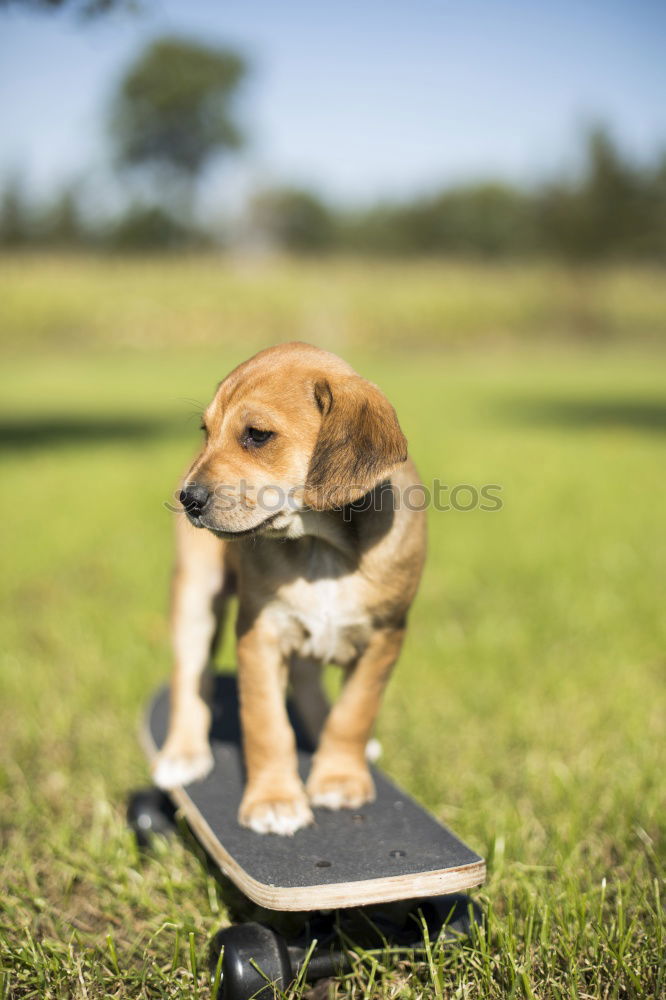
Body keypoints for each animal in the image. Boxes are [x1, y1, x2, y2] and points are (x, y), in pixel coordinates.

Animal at [152, 344, 426, 836]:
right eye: (206, 432)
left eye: (257, 436)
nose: (187, 499)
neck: (322, 548)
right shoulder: (260, 634)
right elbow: (266, 725)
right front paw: (274, 800)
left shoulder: (385, 636)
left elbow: (354, 712)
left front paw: (338, 778)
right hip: (195, 598)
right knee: (190, 677)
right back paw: (183, 754)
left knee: (309, 682)